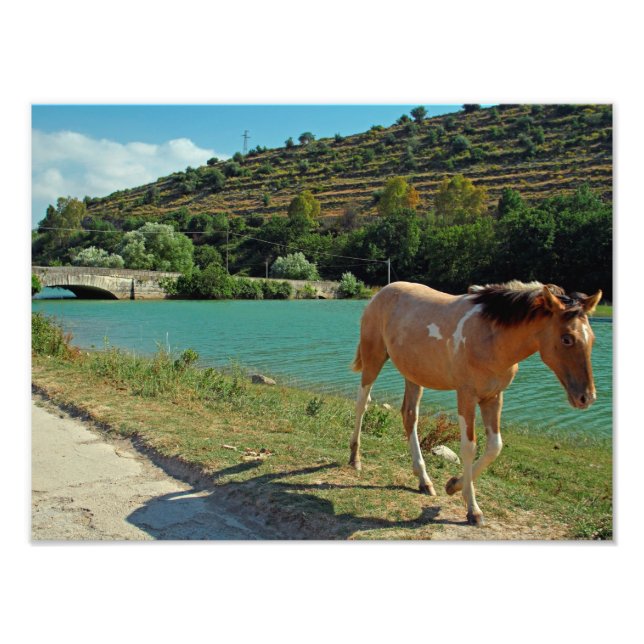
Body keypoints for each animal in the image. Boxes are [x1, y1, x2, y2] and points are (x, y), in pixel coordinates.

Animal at [349, 280, 602, 526]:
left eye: (592, 339)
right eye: (567, 339)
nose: (586, 397)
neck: (491, 337)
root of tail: (380, 293)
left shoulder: (493, 397)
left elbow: (494, 447)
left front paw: (453, 485)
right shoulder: (466, 396)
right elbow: (469, 447)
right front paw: (473, 510)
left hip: (414, 374)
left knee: (410, 416)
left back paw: (424, 480)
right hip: (374, 358)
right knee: (362, 403)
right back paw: (355, 459)